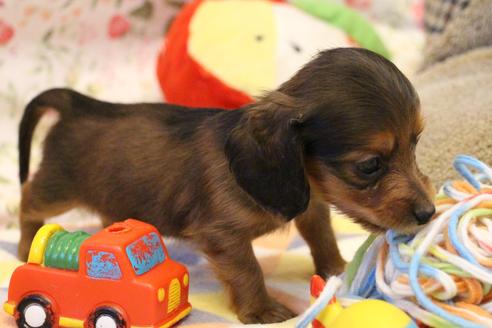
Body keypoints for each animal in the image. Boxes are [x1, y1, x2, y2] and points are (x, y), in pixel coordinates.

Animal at [17, 48, 436, 322]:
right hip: (57, 187)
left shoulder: (313, 207)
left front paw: (337, 269)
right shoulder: (223, 235)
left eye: (416, 142)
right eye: (370, 165)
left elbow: (323, 238)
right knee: (28, 202)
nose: (428, 213)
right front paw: (262, 310)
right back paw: (25, 247)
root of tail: (77, 105)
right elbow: (248, 271)